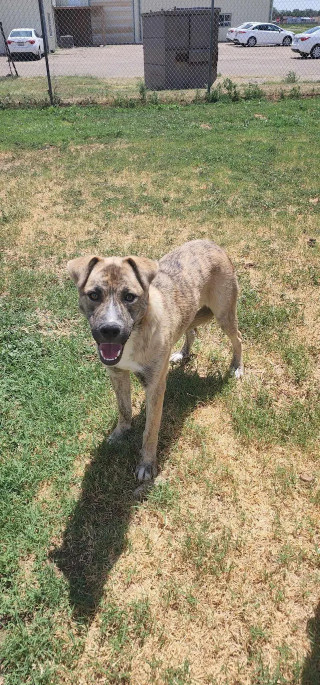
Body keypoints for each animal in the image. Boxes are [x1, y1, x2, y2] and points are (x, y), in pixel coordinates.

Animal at [67, 240, 242, 480]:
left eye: (129, 296)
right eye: (94, 295)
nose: (110, 330)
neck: (135, 335)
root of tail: (211, 243)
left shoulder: (155, 386)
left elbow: (150, 430)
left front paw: (147, 465)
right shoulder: (117, 374)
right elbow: (124, 408)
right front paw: (120, 433)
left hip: (224, 314)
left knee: (238, 338)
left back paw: (237, 367)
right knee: (191, 331)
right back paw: (183, 353)